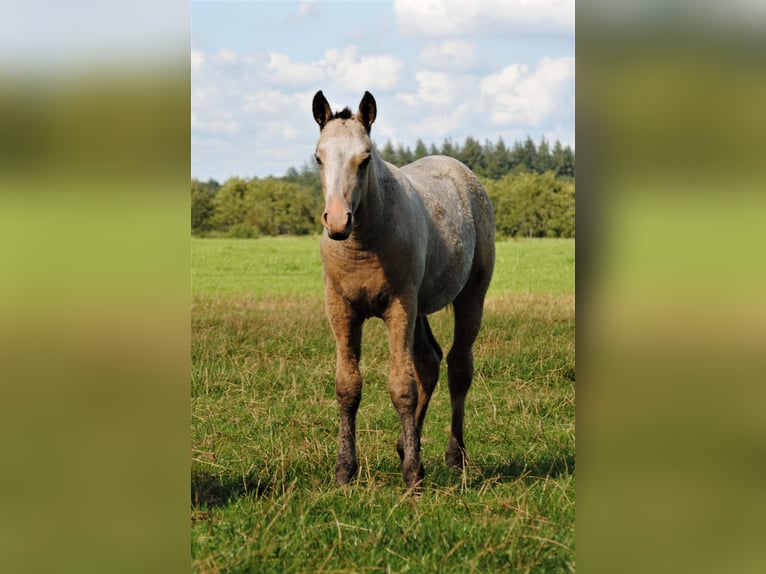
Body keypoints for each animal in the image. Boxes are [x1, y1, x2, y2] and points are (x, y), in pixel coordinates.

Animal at [312, 90, 495, 489]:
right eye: (318, 157)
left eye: (365, 158)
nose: (338, 221)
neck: (364, 243)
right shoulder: (341, 308)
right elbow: (347, 386)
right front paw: (344, 470)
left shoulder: (399, 306)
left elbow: (402, 386)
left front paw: (413, 476)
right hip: (421, 305)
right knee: (430, 360)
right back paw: (404, 445)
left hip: (469, 295)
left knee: (459, 365)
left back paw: (454, 456)